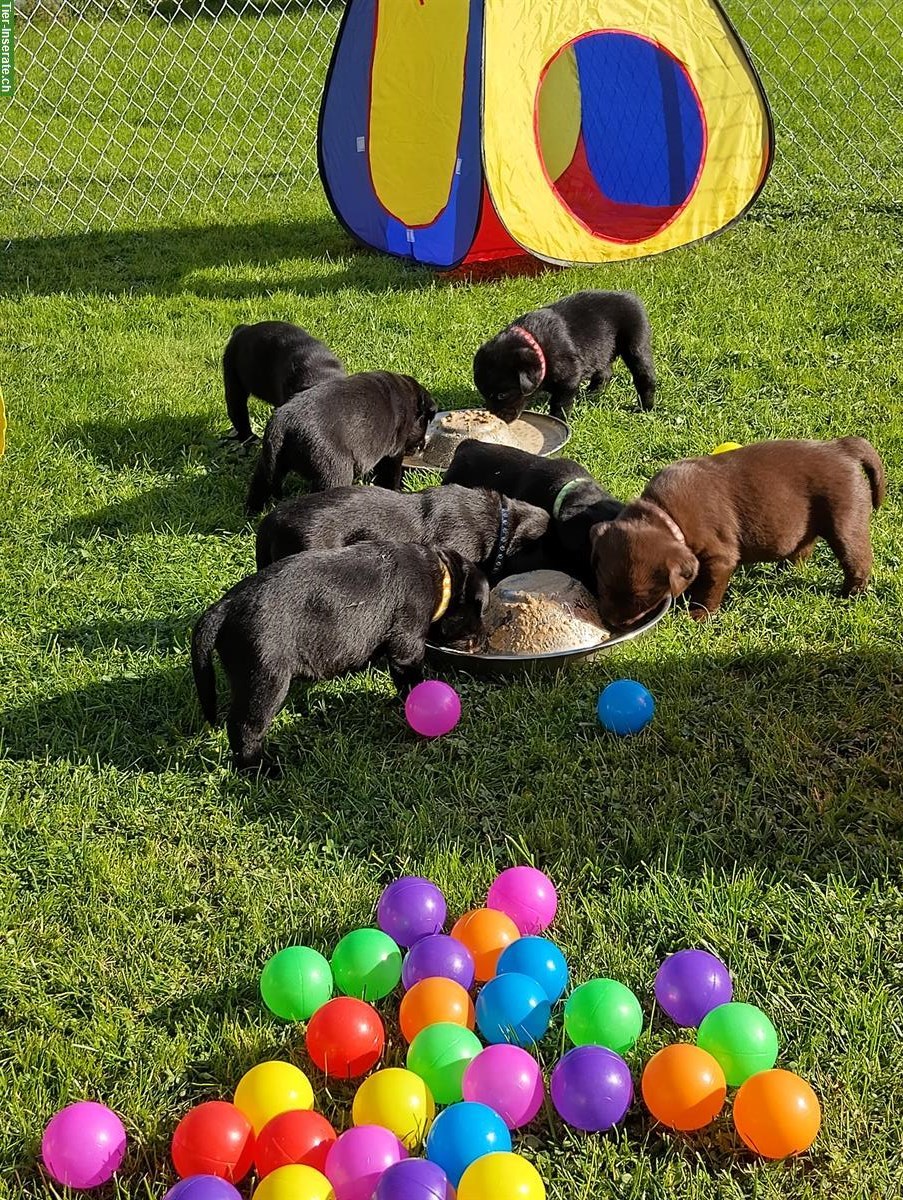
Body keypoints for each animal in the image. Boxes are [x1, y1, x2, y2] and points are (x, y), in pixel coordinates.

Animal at [189, 542, 487, 772]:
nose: (481, 643)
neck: (441, 574)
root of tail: (223, 608)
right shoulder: (407, 640)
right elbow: (410, 677)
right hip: (266, 679)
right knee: (244, 727)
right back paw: (261, 769)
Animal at [247, 369, 437, 511]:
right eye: (426, 423)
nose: (423, 445)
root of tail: (283, 423)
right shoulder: (394, 451)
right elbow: (391, 474)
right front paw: (396, 489)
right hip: (335, 471)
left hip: (270, 462)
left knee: (260, 485)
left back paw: (252, 512)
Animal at [473, 289, 658, 422]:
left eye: (502, 395)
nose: (497, 418)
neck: (539, 347)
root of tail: (631, 296)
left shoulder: (568, 379)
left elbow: (559, 404)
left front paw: (558, 420)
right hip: (602, 351)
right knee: (605, 372)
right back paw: (592, 393)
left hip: (636, 344)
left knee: (644, 376)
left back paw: (645, 407)